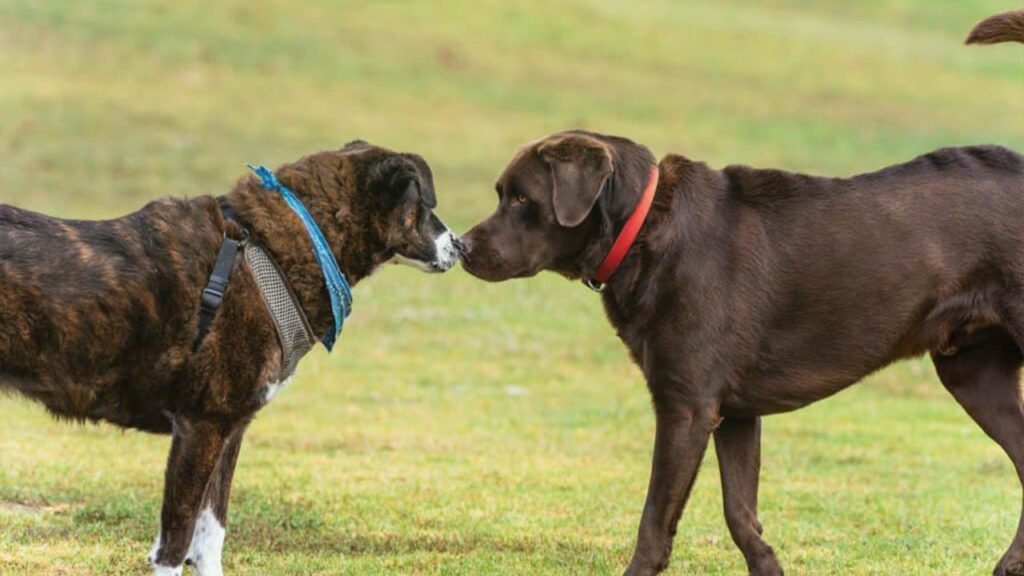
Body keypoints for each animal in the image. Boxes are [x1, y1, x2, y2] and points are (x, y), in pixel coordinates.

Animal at [0, 140, 460, 573]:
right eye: (422, 207)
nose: (460, 245)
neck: (269, 253)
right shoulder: (201, 427)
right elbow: (176, 544)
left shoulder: (229, 430)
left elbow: (210, 539)